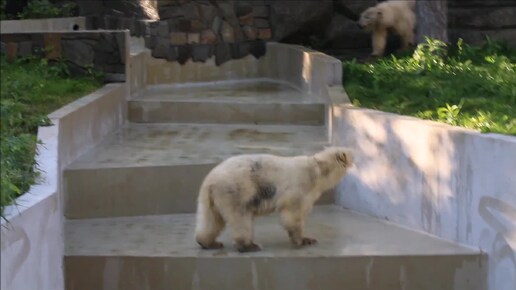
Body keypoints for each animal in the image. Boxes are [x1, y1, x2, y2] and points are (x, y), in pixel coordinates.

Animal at [196, 147, 352, 251]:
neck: (317, 170)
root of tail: (210, 180)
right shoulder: (300, 185)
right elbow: (292, 211)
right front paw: (304, 239)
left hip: (212, 196)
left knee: (212, 219)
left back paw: (209, 242)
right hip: (237, 189)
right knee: (241, 217)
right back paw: (249, 245)